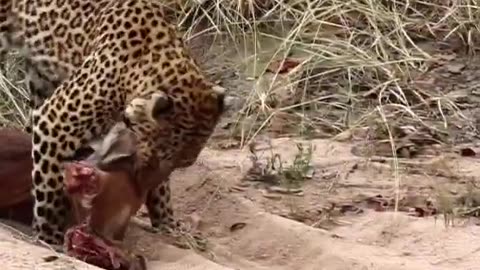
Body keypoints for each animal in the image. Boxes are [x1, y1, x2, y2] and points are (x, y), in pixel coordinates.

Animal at [0, 0, 226, 246]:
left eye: (182, 164)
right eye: (153, 160)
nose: (140, 189)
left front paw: (168, 224)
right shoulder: (54, 122)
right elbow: (50, 189)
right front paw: (48, 237)